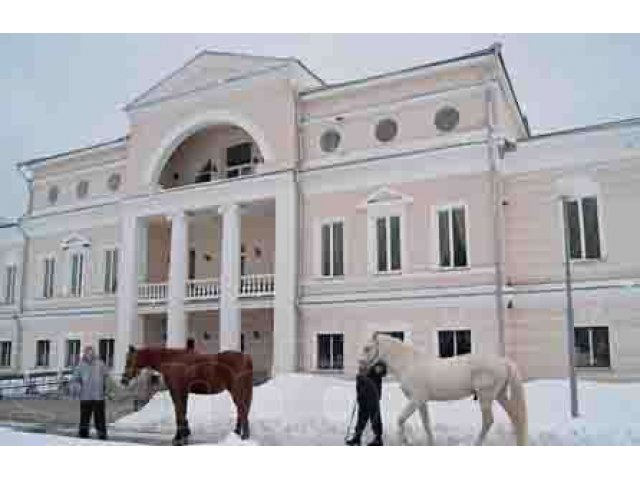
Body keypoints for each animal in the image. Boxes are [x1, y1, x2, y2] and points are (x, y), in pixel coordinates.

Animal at [124, 346, 254, 444]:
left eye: (129, 360)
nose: (123, 380)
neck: (172, 360)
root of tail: (246, 358)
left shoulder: (176, 391)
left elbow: (179, 412)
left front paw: (178, 437)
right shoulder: (183, 392)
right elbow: (183, 411)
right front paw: (185, 434)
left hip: (236, 390)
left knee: (242, 409)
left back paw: (244, 436)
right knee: (241, 410)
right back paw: (237, 433)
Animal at [360, 334, 528, 446]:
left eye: (367, 348)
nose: (360, 367)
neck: (408, 363)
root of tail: (503, 362)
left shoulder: (416, 399)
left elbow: (400, 419)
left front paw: (405, 441)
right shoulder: (421, 402)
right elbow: (426, 424)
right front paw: (430, 443)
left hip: (486, 397)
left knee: (488, 421)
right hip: (500, 395)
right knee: (515, 416)